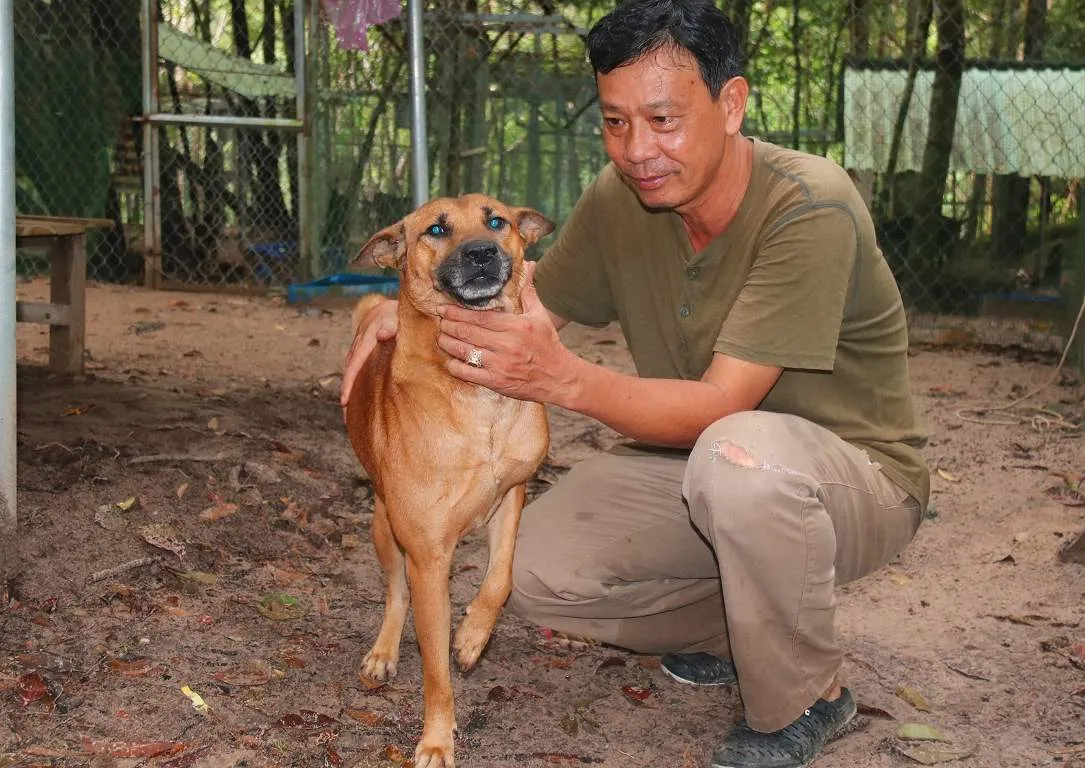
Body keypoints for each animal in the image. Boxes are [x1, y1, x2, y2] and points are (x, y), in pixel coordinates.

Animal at [345, 195, 551, 763]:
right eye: (436, 229)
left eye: (496, 221)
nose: (481, 253)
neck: (479, 400)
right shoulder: (429, 558)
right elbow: (435, 671)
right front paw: (437, 740)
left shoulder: (512, 498)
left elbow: (500, 579)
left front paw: (473, 637)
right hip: (385, 528)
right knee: (395, 593)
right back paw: (383, 652)